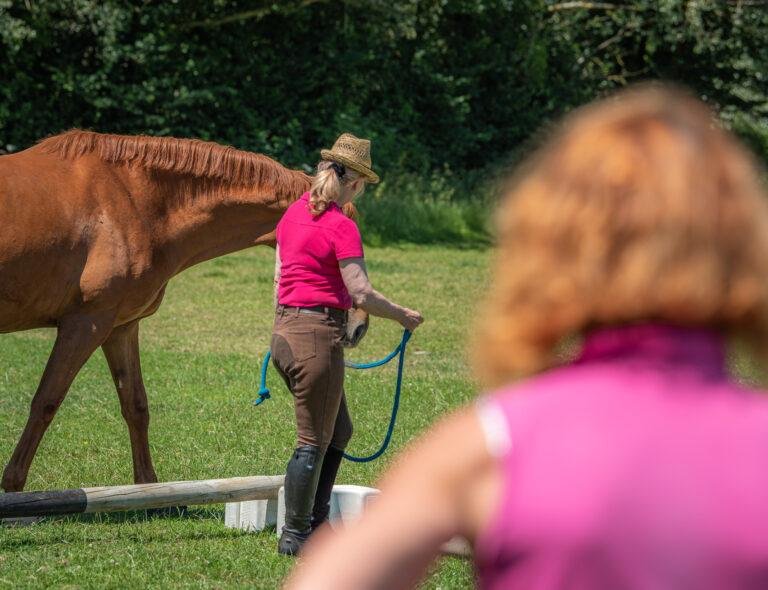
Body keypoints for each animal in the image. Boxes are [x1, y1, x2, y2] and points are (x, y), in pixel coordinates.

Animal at [0, 130, 368, 492]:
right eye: (342, 245)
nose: (359, 326)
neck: (131, 200)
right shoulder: (85, 323)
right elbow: (46, 401)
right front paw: (12, 486)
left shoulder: (120, 327)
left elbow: (136, 406)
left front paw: (148, 489)